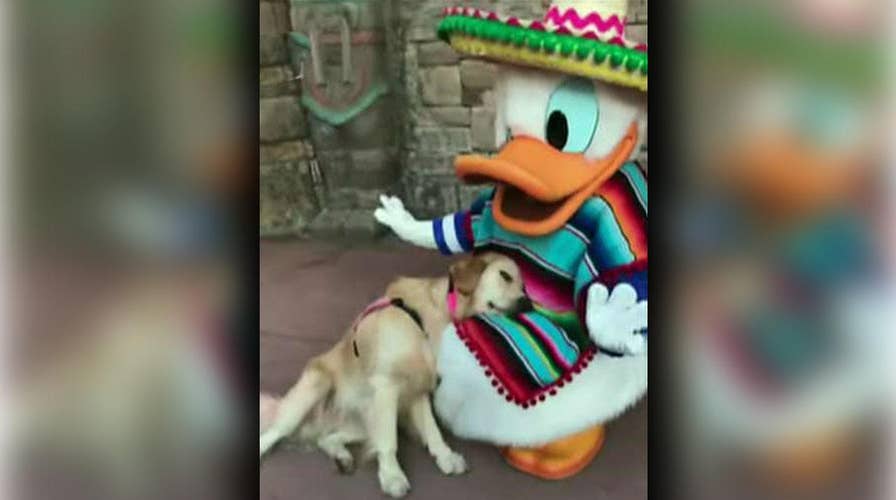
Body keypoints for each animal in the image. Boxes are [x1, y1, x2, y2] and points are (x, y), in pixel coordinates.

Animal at [260, 254, 528, 496]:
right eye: (505, 275)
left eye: (524, 287)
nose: (527, 304)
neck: (432, 315)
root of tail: (320, 421)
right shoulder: (386, 386)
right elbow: (389, 442)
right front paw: (391, 476)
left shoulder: (418, 389)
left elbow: (432, 430)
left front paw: (445, 456)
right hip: (316, 389)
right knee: (276, 431)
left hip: (364, 421)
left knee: (326, 438)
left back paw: (342, 455)